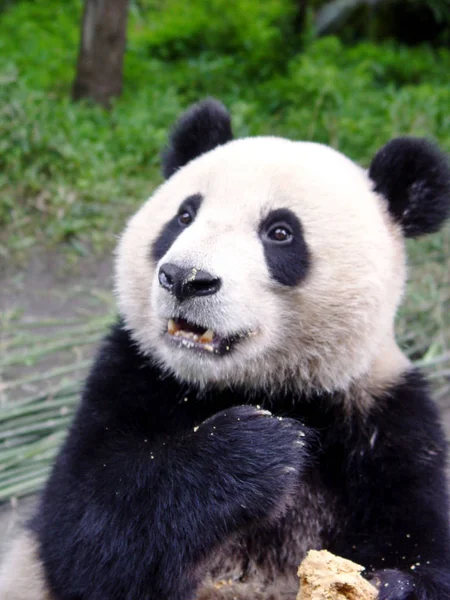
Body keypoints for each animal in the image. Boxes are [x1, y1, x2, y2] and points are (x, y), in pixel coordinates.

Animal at [0, 99, 450, 600]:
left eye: (280, 232)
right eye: (184, 216)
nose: (184, 278)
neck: (253, 386)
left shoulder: (384, 416)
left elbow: (419, 542)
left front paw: (394, 585)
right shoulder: (130, 374)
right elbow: (85, 529)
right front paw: (259, 447)